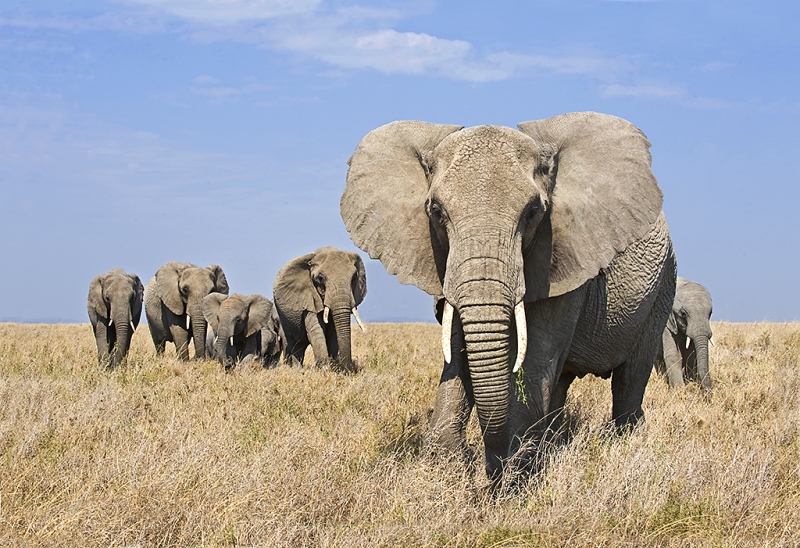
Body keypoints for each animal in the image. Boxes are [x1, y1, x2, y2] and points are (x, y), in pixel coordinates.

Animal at [340, 111, 680, 480]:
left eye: (533, 213)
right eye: (436, 212)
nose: (487, 461)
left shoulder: (560, 257)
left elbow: (535, 355)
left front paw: (510, 477)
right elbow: (459, 348)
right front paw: (446, 466)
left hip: (664, 284)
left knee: (631, 376)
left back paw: (621, 441)